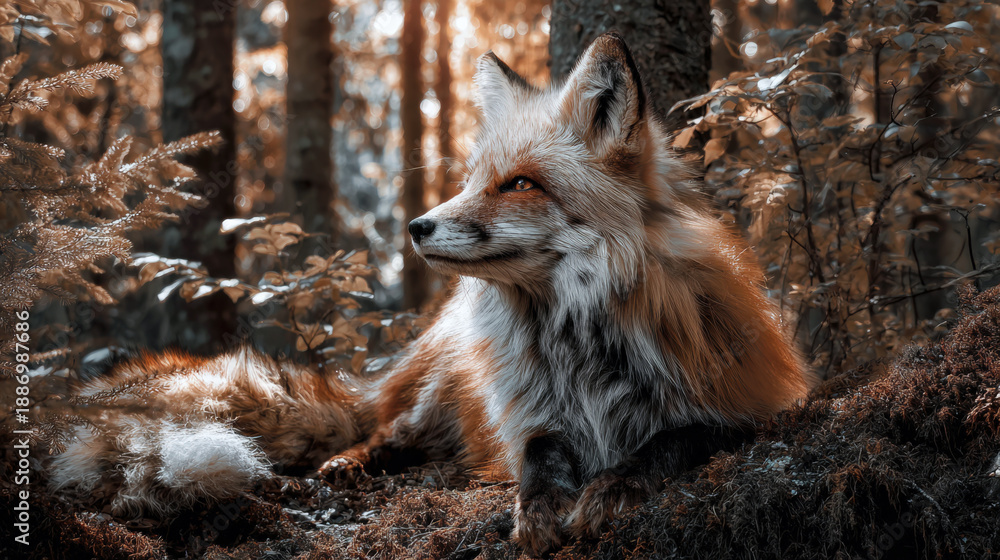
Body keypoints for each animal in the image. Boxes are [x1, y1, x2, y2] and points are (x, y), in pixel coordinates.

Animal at [49, 32, 811, 556]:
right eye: (474, 180)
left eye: (520, 184)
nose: (415, 226)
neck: (579, 342)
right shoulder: (530, 416)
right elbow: (538, 461)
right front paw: (538, 512)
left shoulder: (748, 404)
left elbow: (673, 442)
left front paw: (612, 487)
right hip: (437, 386)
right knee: (386, 431)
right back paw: (350, 462)